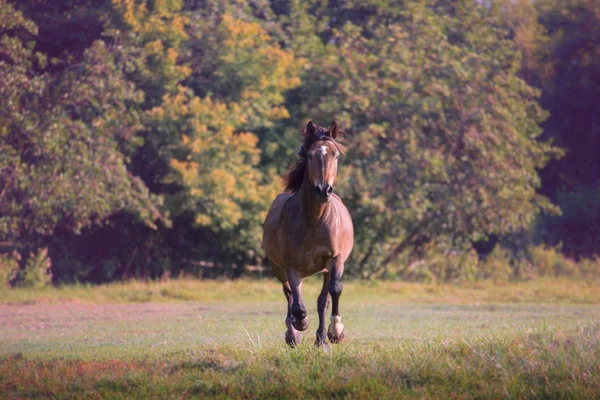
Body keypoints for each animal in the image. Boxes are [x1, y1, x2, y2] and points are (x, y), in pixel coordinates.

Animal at [262, 119, 352, 346]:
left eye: (335, 155)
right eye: (310, 155)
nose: (323, 190)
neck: (314, 220)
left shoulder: (335, 259)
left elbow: (334, 291)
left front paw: (336, 332)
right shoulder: (291, 266)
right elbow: (296, 303)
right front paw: (300, 323)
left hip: (325, 269)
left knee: (322, 301)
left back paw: (321, 340)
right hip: (278, 267)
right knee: (289, 294)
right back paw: (293, 333)